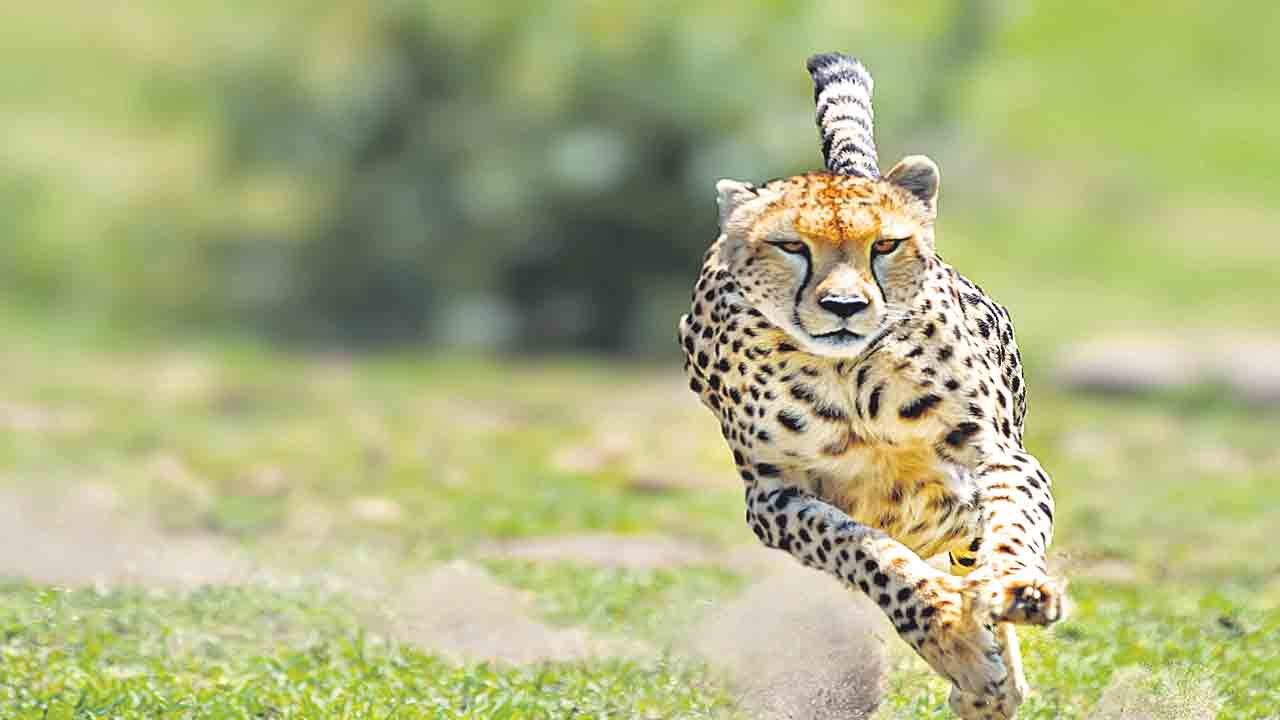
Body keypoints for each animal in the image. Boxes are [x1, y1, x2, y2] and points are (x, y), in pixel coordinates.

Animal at [678, 53, 1066, 719]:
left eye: (885, 244)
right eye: (791, 245)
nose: (843, 306)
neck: (849, 377)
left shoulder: (997, 457)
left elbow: (1012, 525)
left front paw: (1016, 589)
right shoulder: (773, 498)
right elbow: (866, 552)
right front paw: (950, 635)